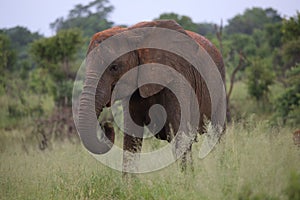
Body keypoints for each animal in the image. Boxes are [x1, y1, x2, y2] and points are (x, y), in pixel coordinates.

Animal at [77, 20, 225, 173]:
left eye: (114, 67)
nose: (107, 125)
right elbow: (132, 138)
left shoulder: (177, 76)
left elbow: (179, 134)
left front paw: (186, 178)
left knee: (216, 132)